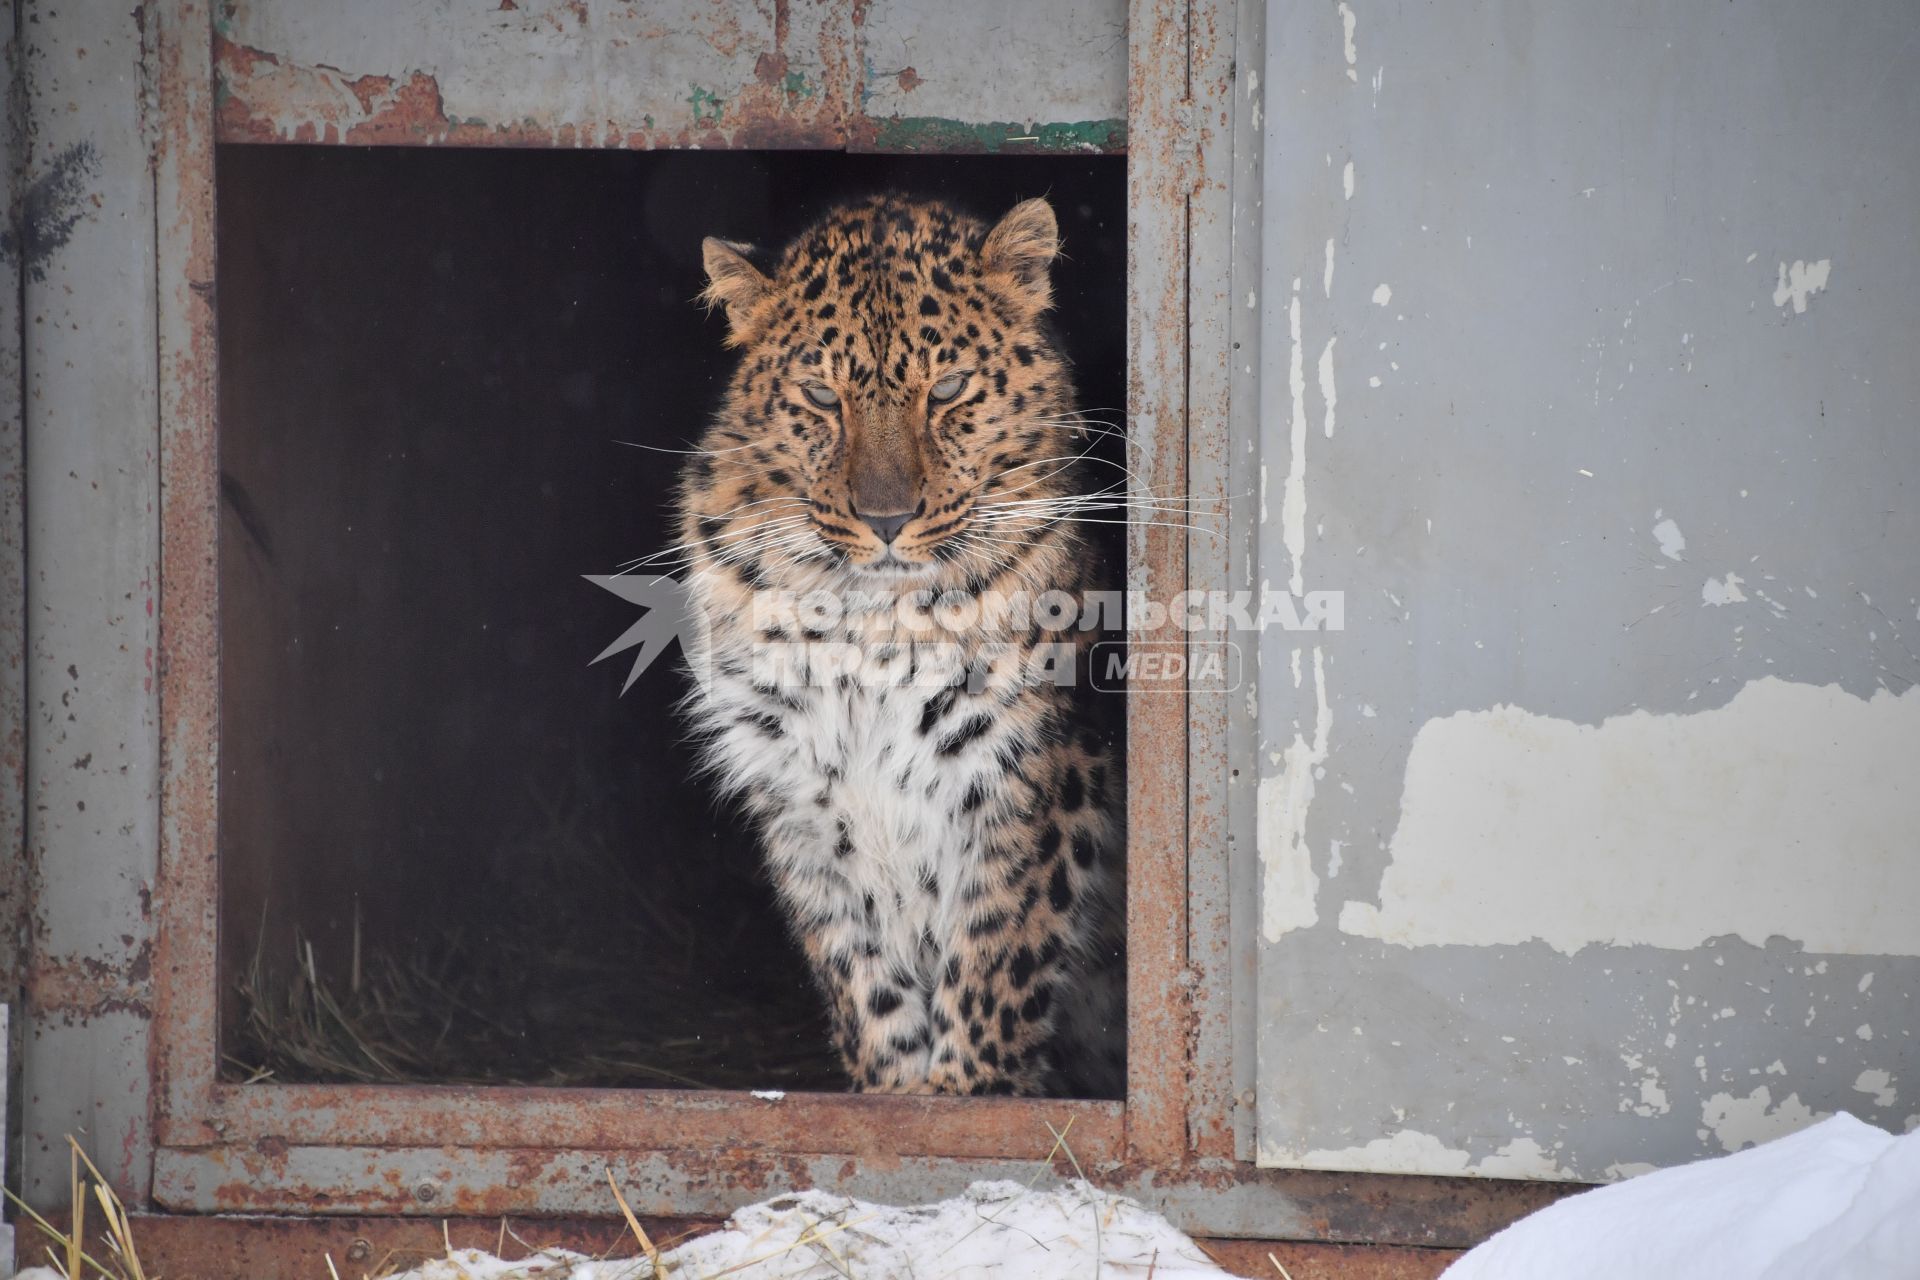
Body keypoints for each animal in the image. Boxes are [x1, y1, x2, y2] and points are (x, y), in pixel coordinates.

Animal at [675, 195, 1121, 1097]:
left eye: (947, 389)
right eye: (821, 395)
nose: (886, 519)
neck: (870, 624)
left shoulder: (1030, 778)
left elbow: (995, 956)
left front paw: (966, 1094)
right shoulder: (798, 795)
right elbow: (860, 976)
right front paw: (894, 1095)